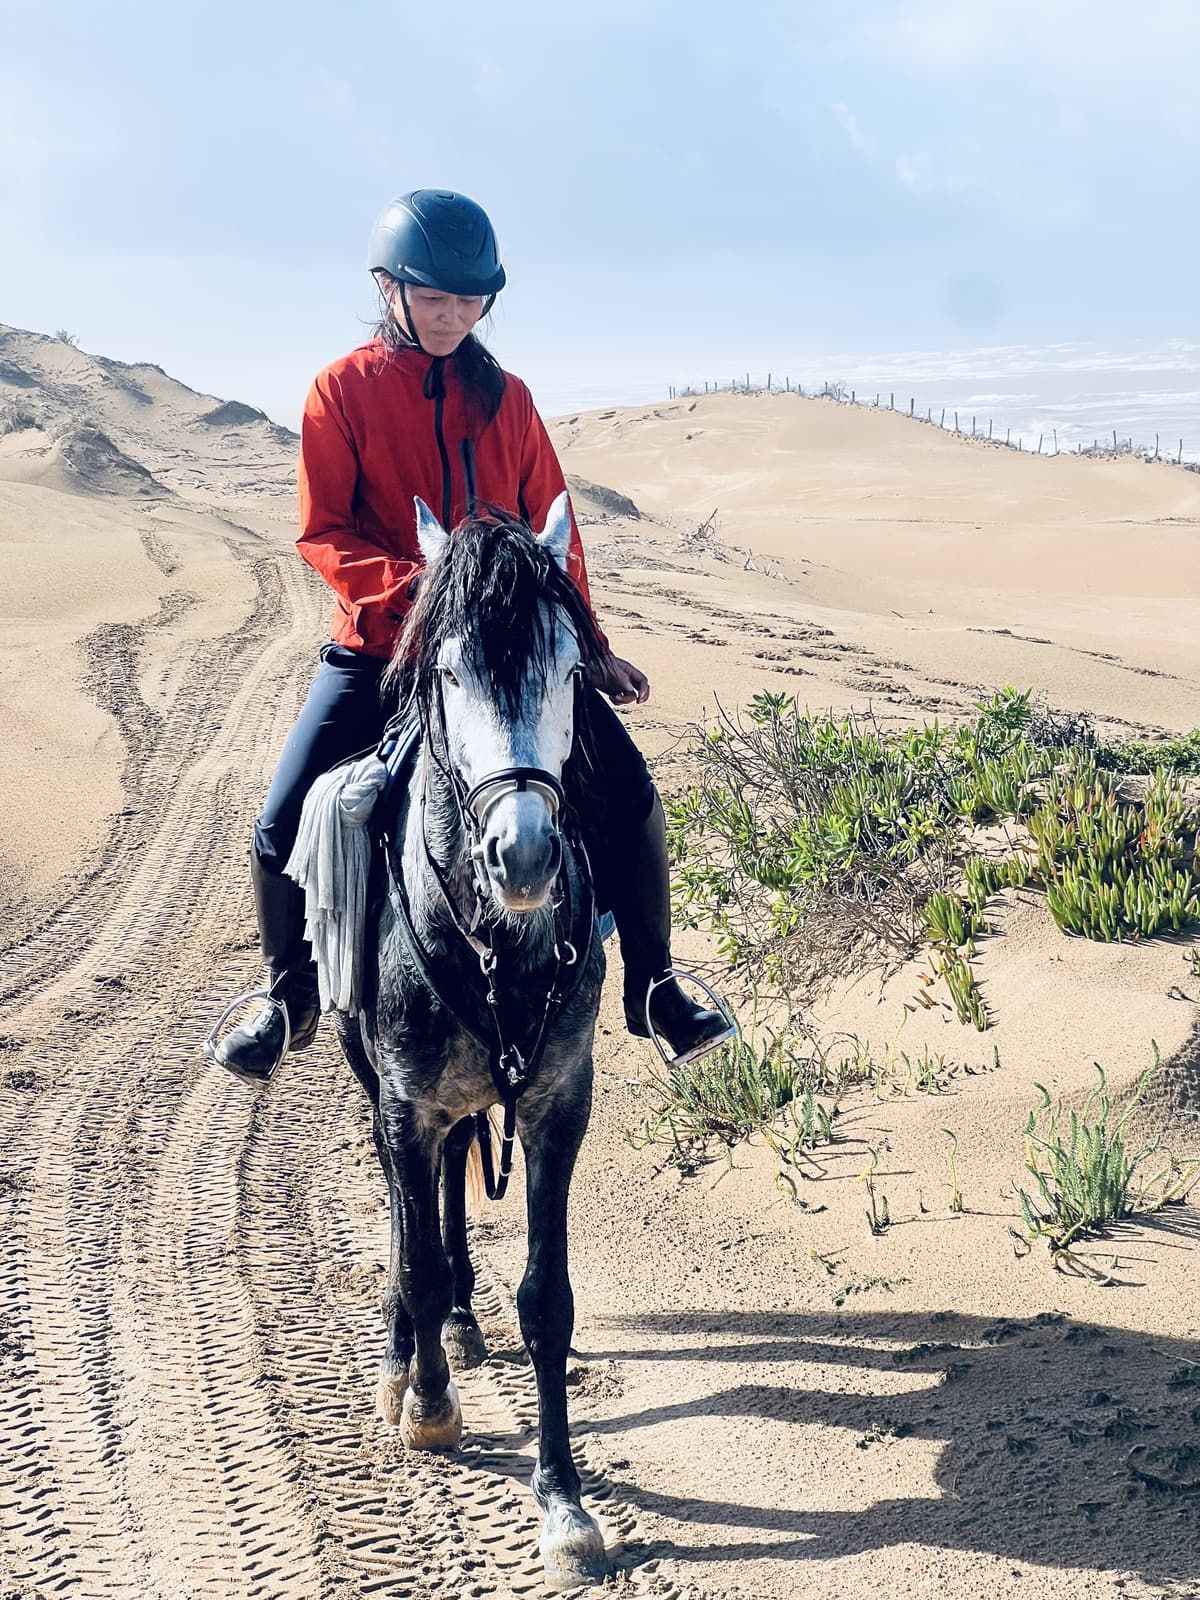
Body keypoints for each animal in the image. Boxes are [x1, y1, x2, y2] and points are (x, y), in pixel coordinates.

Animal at [334, 492, 612, 1591]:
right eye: (447, 672)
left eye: (573, 669)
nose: (524, 854)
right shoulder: (405, 1100)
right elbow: (409, 1249)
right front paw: (427, 1401)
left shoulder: (559, 1104)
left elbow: (547, 1301)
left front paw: (563, 1502)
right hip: (377, 1084)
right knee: (404, 1215)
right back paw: (407, 1353)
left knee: (451, 1185)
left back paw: (455, 1321)